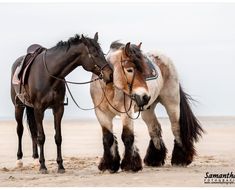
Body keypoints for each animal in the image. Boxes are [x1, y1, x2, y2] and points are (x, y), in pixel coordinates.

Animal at [10, 33, 113, 174]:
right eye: (94, 54)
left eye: (102, 53)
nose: (110, 75)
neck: (49, 75)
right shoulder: (39, 109)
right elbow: (42, 137)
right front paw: (43, 166)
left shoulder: (58, 108)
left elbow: (58, 137)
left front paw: (60, 166)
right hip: (18, 106)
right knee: (20, 130)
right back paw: (19, 160)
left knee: (33, 131)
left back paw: (36, 159)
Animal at [90, 41, 204, 172]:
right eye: (129, 70)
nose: (145, 97)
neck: (110, 89)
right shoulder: (102, 114)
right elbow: (107, 138)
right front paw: (109, 165)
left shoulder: (126, 113)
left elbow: (127, 136)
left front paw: (130, 165)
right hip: (148, 110)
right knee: (154, 128)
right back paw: (155, 159)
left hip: (172, 103)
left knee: (176, 128)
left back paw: (180, 159)